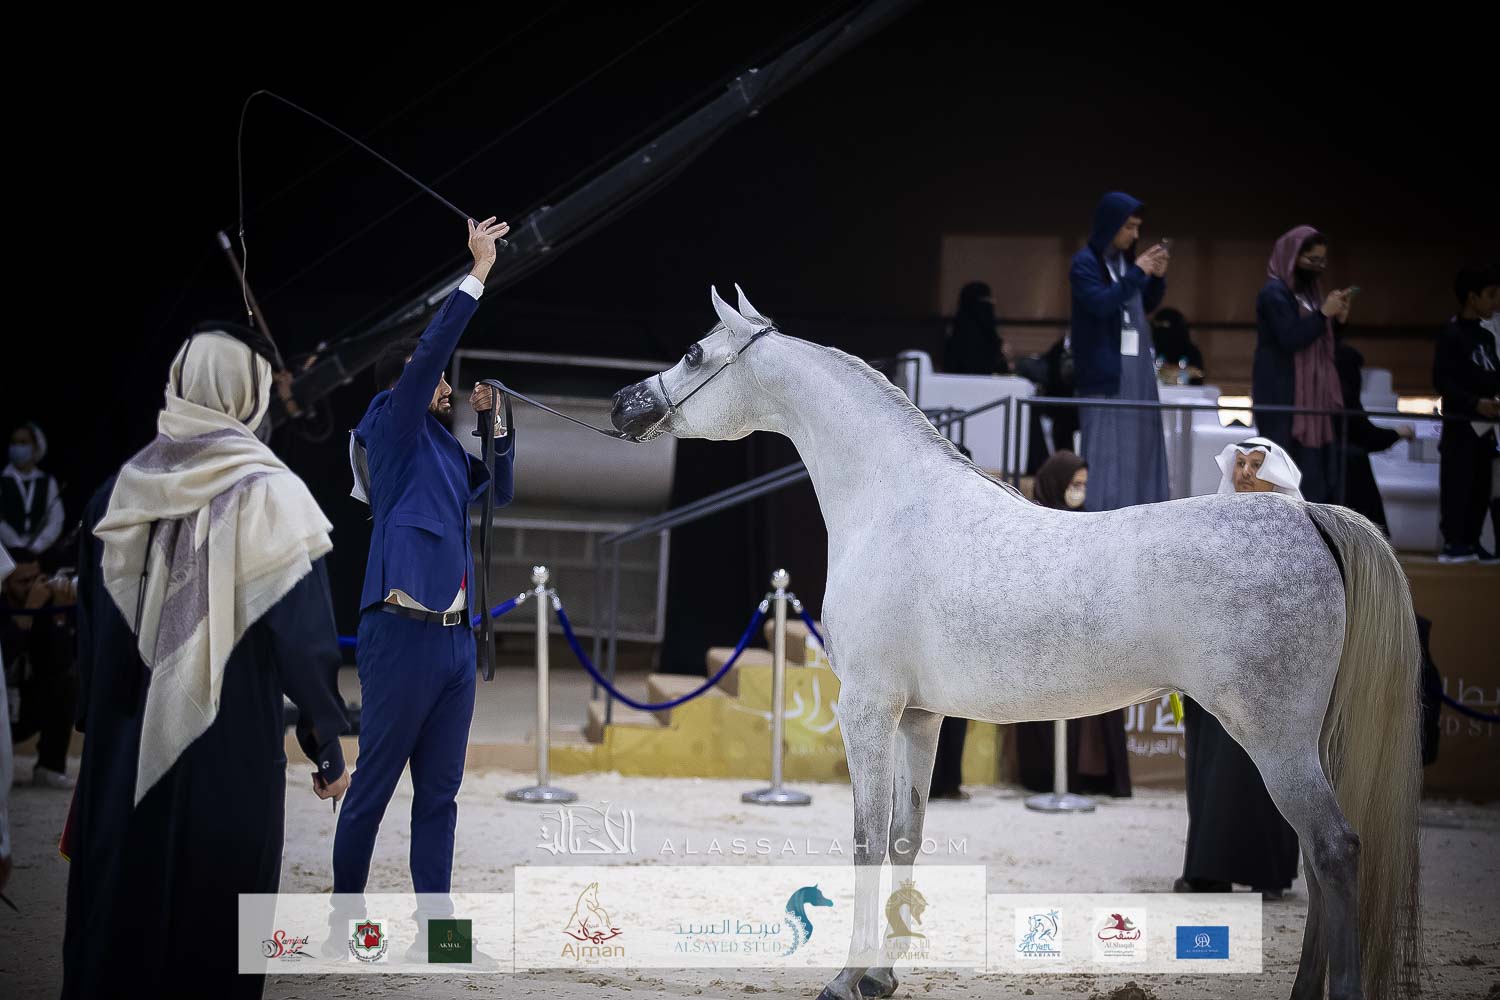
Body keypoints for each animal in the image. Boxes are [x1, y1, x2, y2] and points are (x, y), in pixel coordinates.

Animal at [608, 286, 1423, 1000]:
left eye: (692, 351)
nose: (624, 404)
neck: (894, 504)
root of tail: (1307, 515)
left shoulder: (867, 709)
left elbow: (865, 840)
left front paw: (845, 979)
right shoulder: (918, 716)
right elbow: (906, 837)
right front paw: (882, 977)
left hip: (1275, 737)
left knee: (1334, 850)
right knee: (1317, 861)